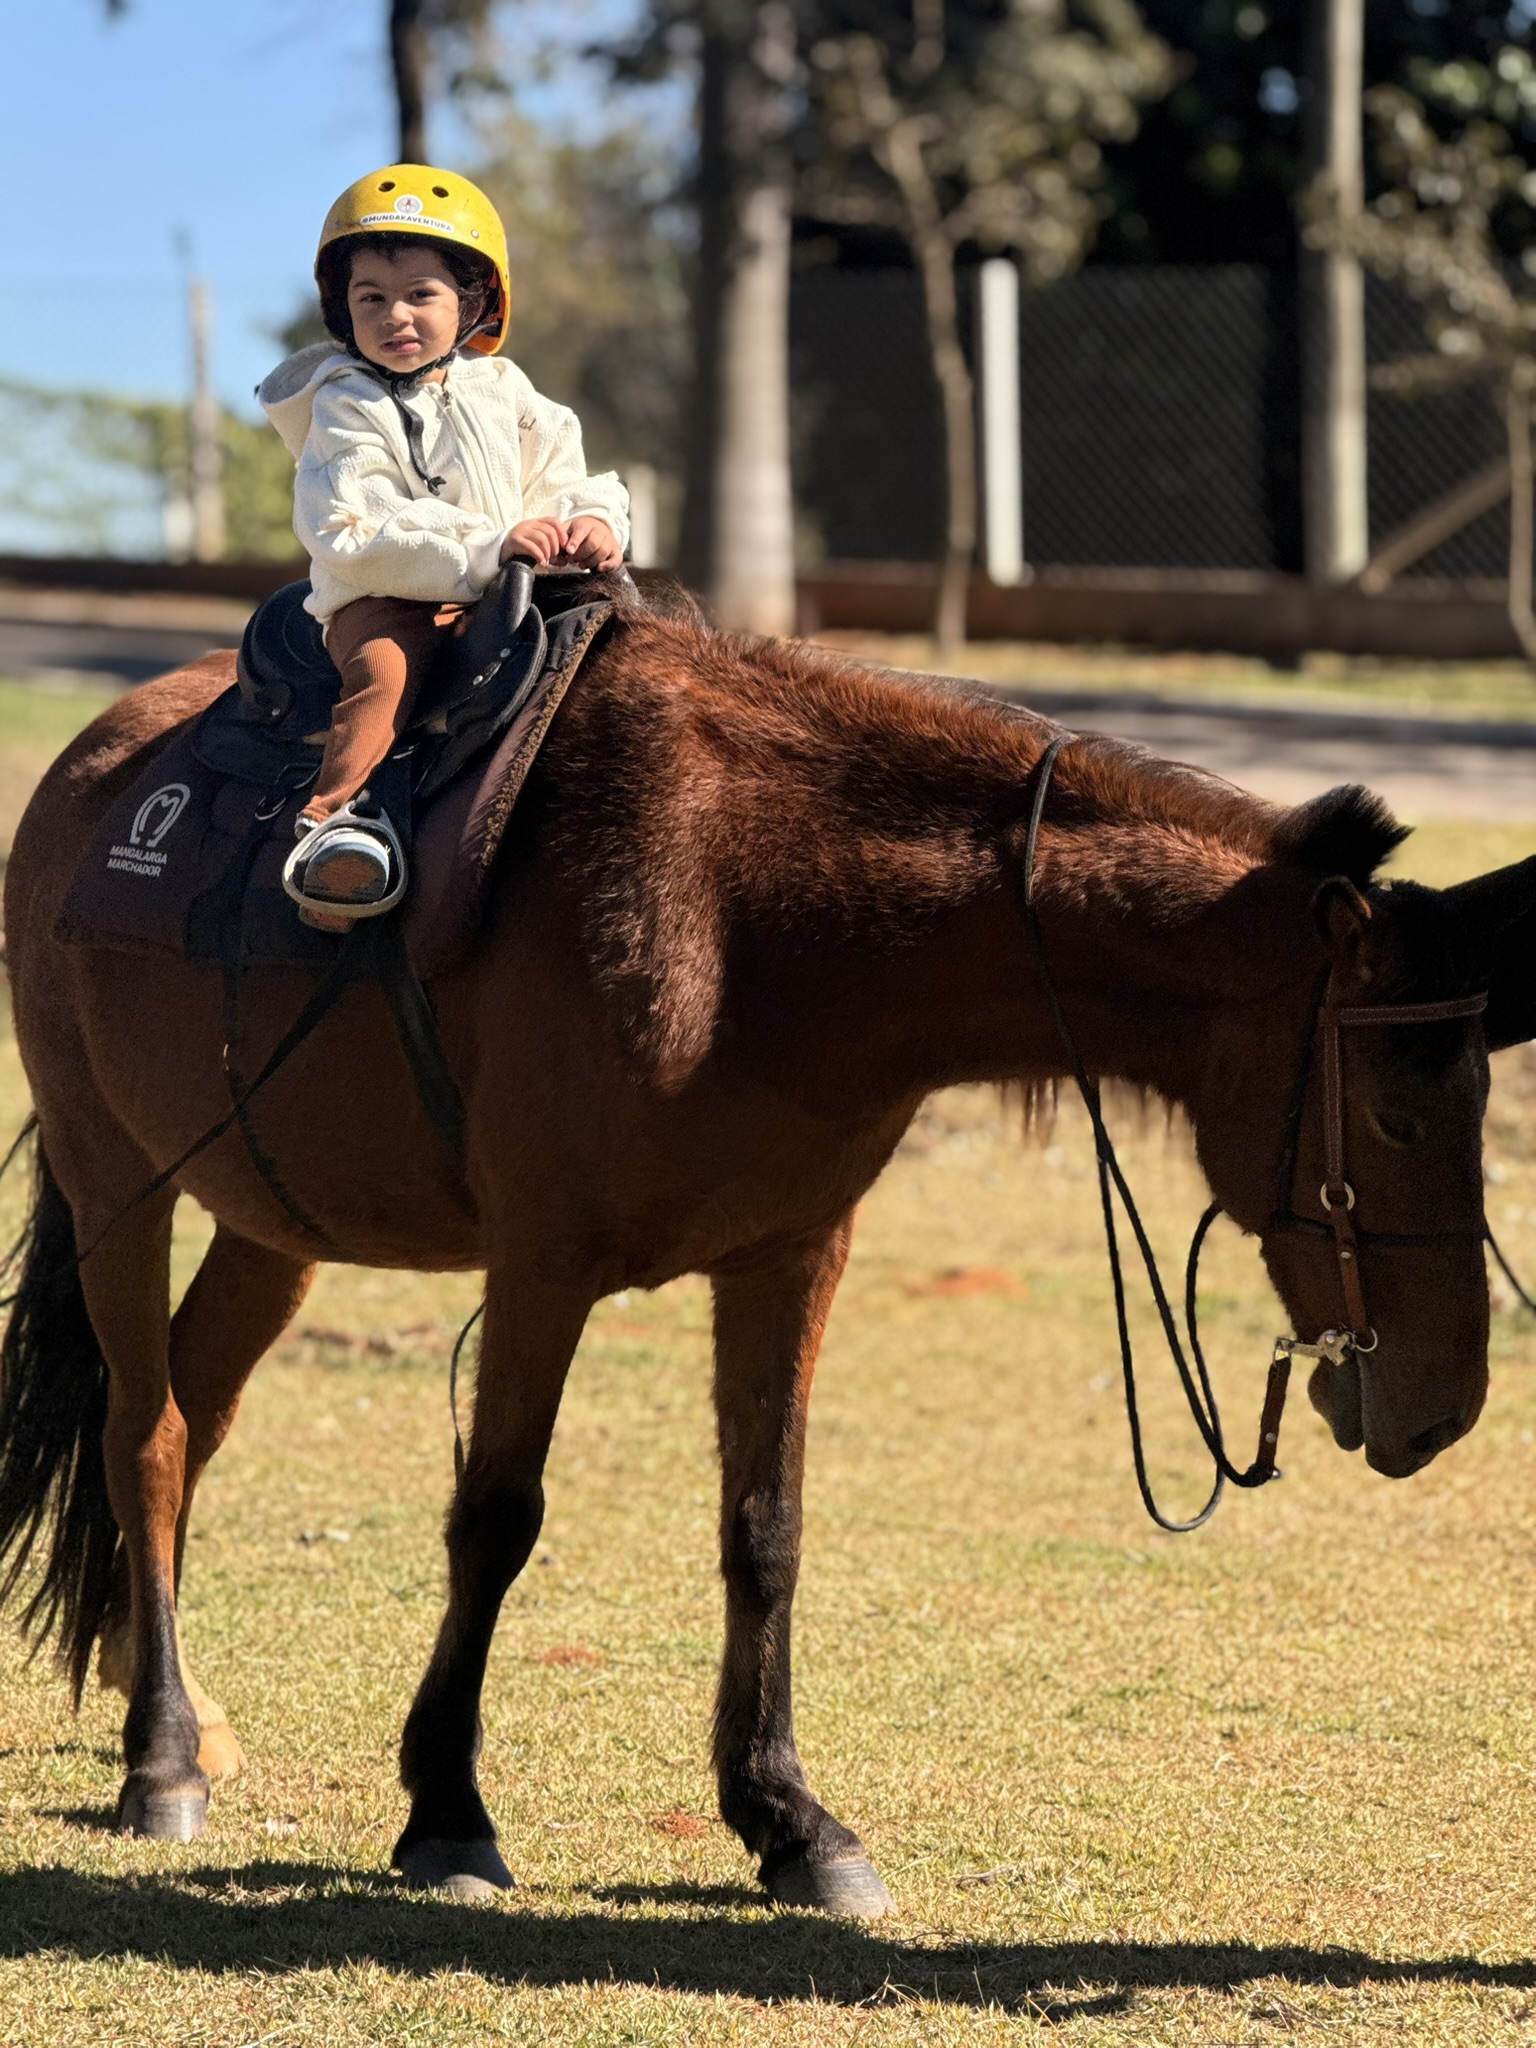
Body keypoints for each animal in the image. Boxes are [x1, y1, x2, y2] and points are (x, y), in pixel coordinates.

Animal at [2, 573, 1534, 1916]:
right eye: (1398, 1114)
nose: (1443, 1405)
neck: (754, 909)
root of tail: (100, 759)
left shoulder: (791, 1255)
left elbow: (767, 1528)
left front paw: (790, 1818)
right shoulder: (544, 1263)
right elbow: (495, 1519)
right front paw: (447, 1811)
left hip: (275, 1222)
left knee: (193, 1416)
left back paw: (177, 1705)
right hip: (116, 1176)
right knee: (146, 1434)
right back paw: (159, 1756)